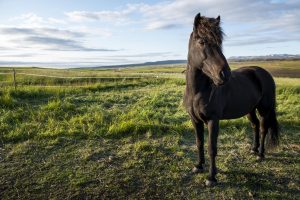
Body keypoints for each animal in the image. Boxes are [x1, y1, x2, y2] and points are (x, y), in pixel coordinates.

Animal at [183, 13, 278, 187]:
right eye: (202, 42)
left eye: (220, 43)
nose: (224, 74)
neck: (198, 92)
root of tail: (264, 73)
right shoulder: (195, 120)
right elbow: (199, 142)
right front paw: (198, 166)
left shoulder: (213, 120)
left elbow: (211, 147)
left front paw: (211, 177)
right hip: (250, 109)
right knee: (255, 125)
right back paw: (253, 149)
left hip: (264, 109)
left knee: (263, 128)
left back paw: (260, 154)